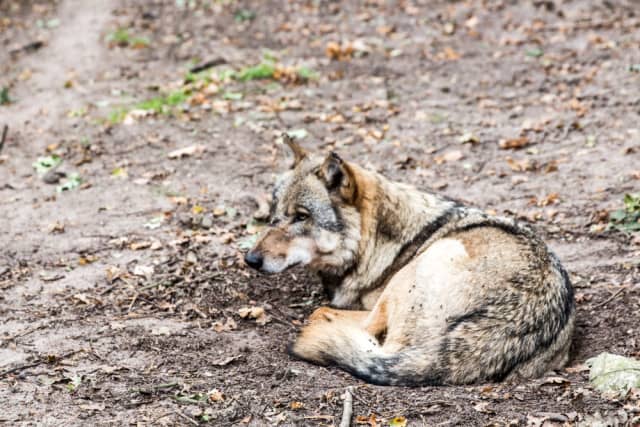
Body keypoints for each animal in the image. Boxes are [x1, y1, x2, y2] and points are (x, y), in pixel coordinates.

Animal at [244, 135, 576, 386]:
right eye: (274, 215)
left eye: (301, 217)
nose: (251, 259)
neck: (381, 242)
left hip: (422, 266)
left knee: (351, 326)